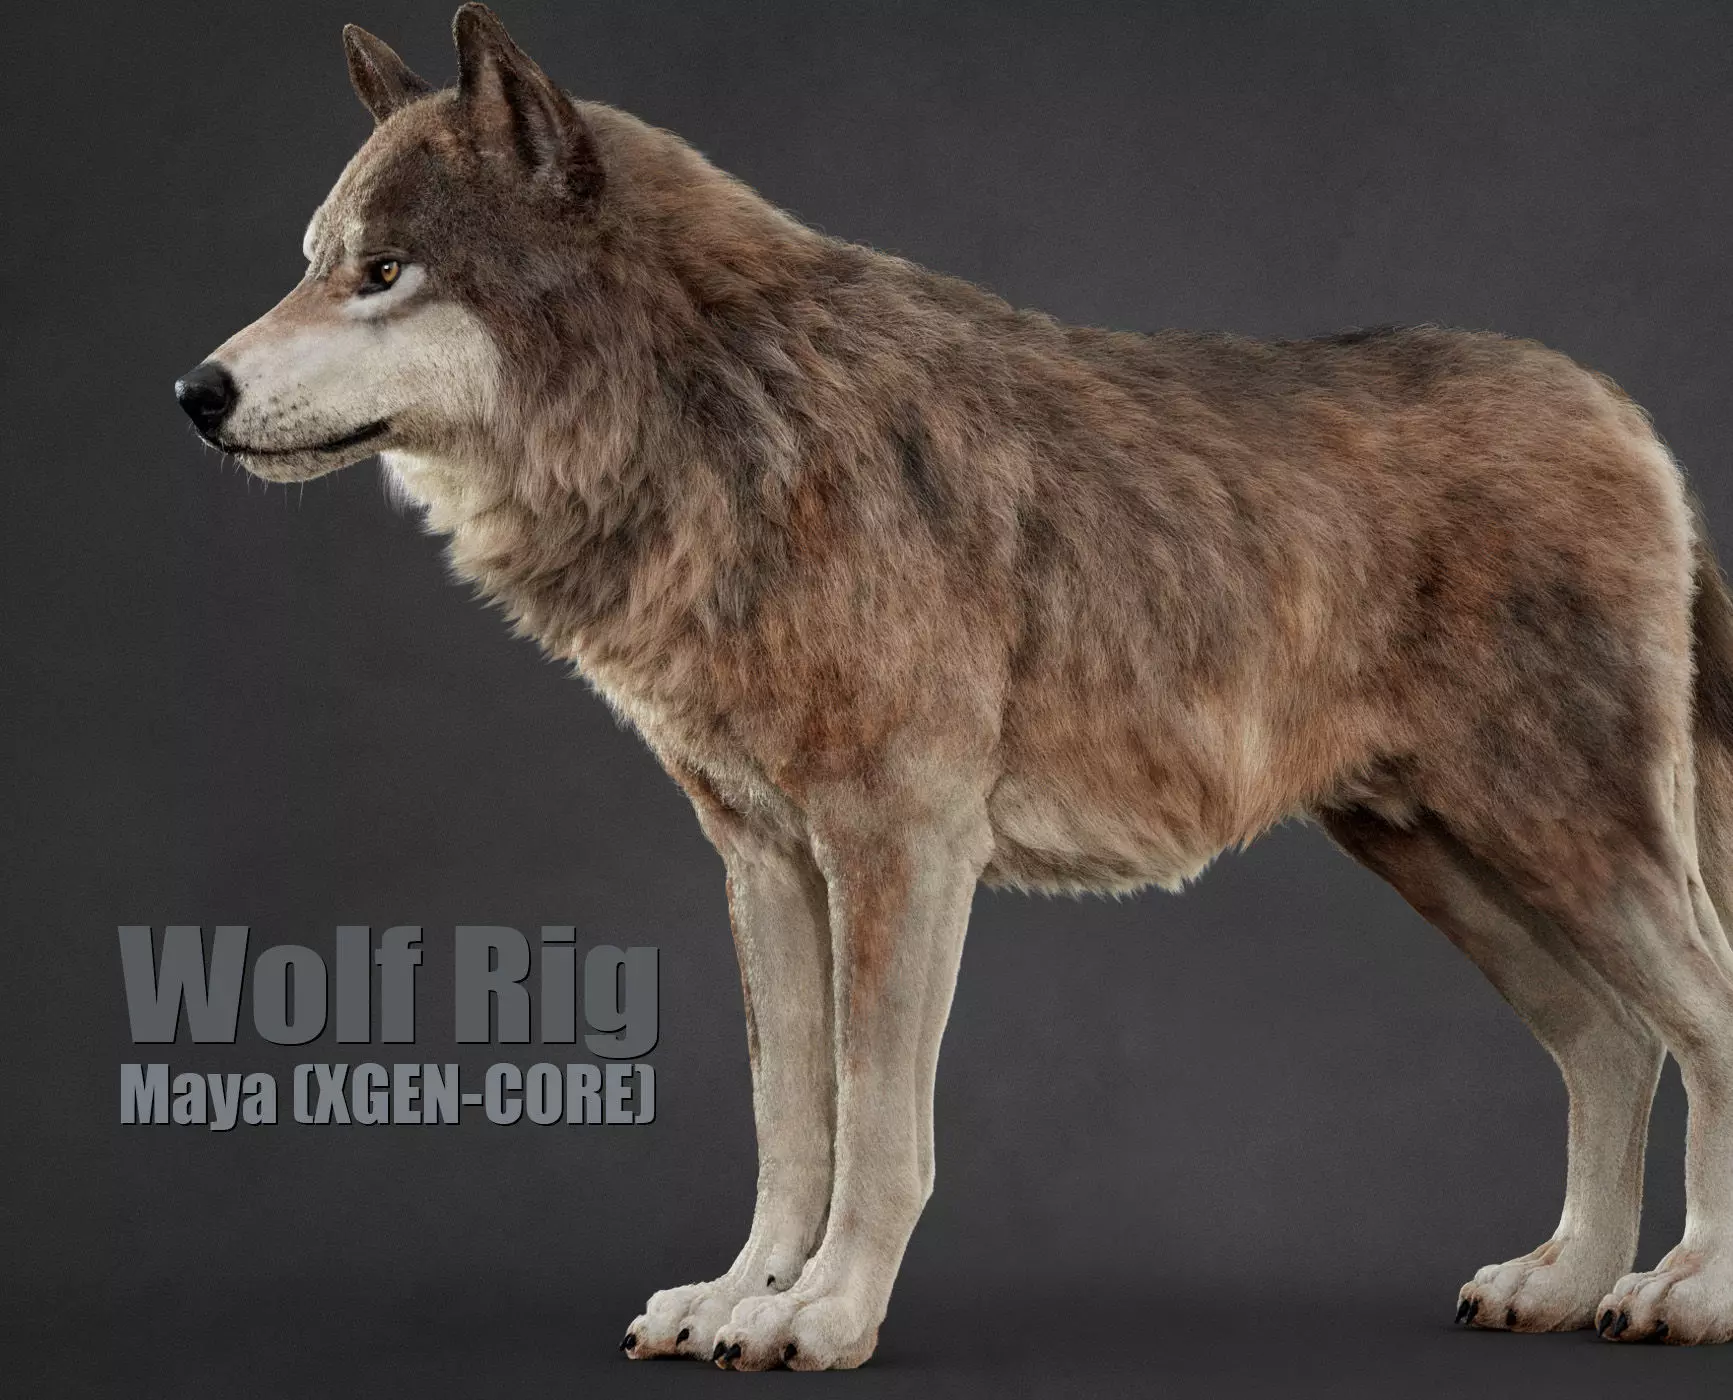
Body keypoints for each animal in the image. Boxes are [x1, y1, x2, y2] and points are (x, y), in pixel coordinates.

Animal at [175, 4, 1733, 1368]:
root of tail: (1626, 413)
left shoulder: (899, 848)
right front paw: (740, 1298)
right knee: (1613, 1045)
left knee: (1703, 1021)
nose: (195, 393)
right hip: (1442, 854)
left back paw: (1686, 1291)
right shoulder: (765, 861)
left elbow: (878, 1129)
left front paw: (823, 1319)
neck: (727, 428)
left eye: (384, 273)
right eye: (312, 261)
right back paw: (1561, 1283)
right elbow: (790, 1122)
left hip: (1571, 841)